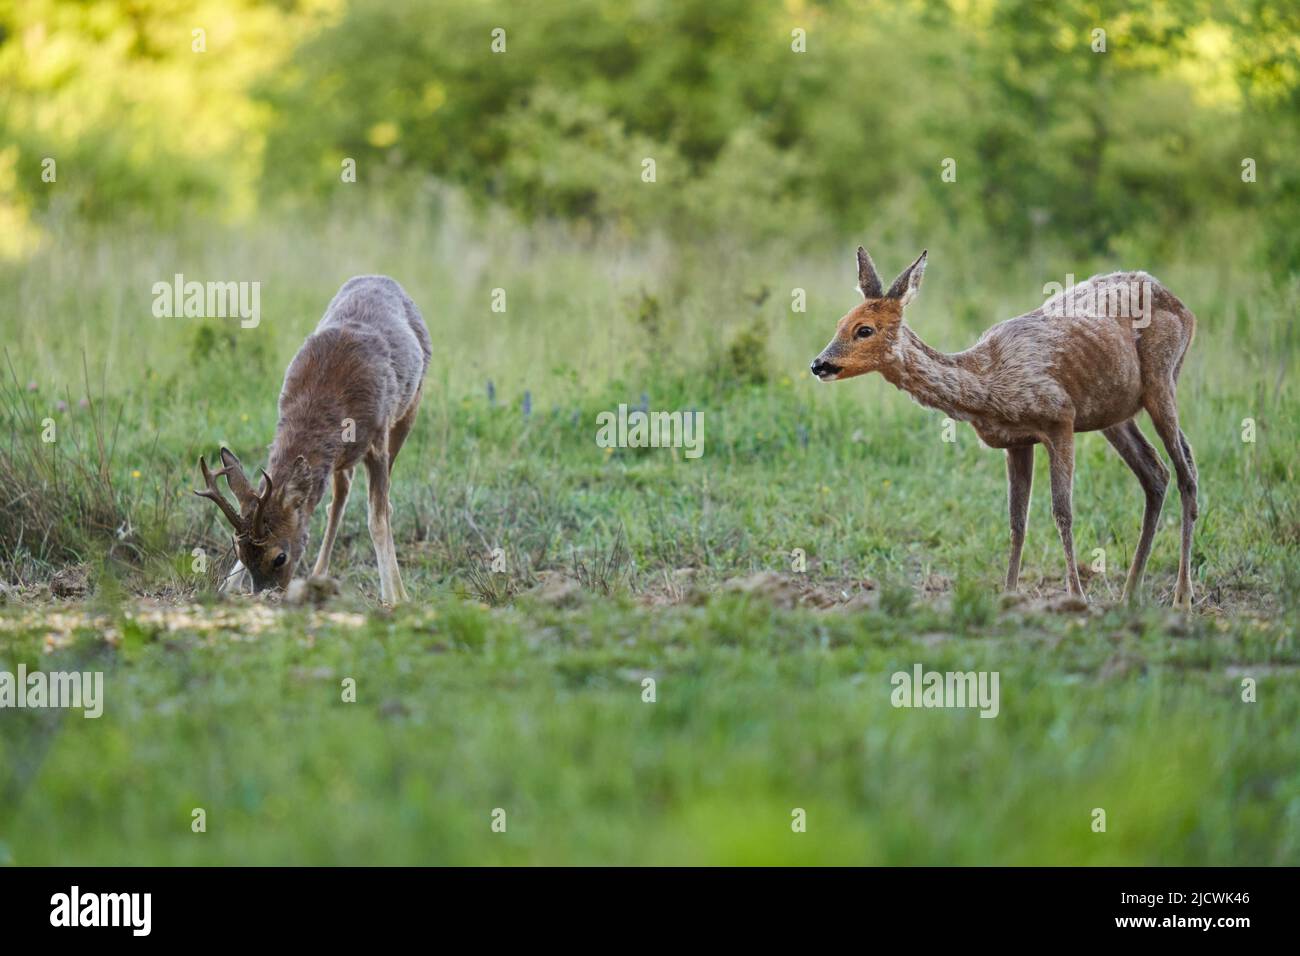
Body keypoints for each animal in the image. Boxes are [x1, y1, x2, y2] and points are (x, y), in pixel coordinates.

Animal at [195, 275, 431, 604]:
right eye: (239, 551)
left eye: (280, 557)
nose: (267, 595)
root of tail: (382, 278)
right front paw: (225, 587)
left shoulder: (378, 439)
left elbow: (378, 519)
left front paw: (395, 598)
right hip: (344, 460)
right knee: (339, 496)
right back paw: (318, 576)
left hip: (409, 410)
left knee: (379, 504)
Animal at [810, 246, 1198, 608]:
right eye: (840, 322)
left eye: (864, 329)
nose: (819, 364)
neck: (989, 383)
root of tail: (1184, 307)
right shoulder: (1016, 442)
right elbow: (1016, 521)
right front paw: (1008, 595)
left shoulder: (1061, 419)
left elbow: (1062, 512)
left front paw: (1076, 598)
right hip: (1115, 415)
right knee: (1156, 473)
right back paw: (1130, 594)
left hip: (1162, 380)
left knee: (1186, 472)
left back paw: (1182, 596)